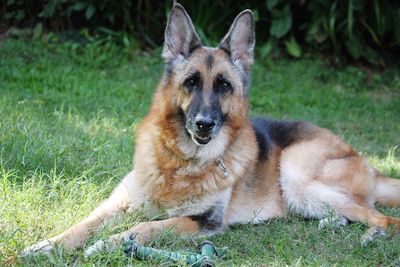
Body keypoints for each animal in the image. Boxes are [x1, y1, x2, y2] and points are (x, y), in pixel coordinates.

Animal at [24, 2, 400, 258]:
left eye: (224, 86)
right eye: (191, 82)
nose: (204, 124)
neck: (179, 164)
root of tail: (369, 164)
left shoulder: (202, 220)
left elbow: (145, 227)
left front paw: (108, 244)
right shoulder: (118, 204)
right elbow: (82, 225)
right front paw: (46, 245)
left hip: (296, 173)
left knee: (385, 220)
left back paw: (370, 237)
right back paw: (332, 224)